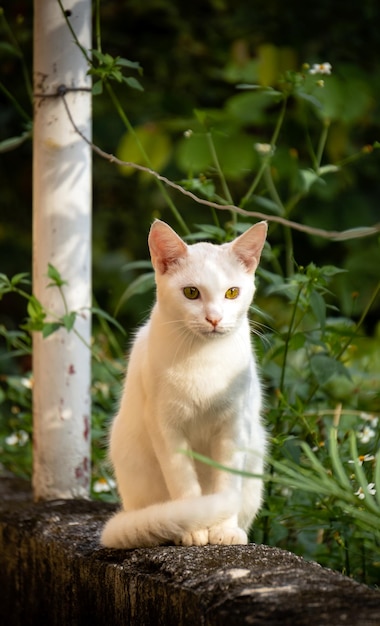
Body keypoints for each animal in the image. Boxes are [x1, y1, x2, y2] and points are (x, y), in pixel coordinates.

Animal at [101, 218, 268, 544]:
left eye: (232, 293)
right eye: (191, 292)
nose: (214, 318)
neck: (204, 358)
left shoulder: (234, 426)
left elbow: (228, 482)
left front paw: (224, 529)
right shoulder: (166, 428)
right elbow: (184, 484)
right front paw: (194, 530)